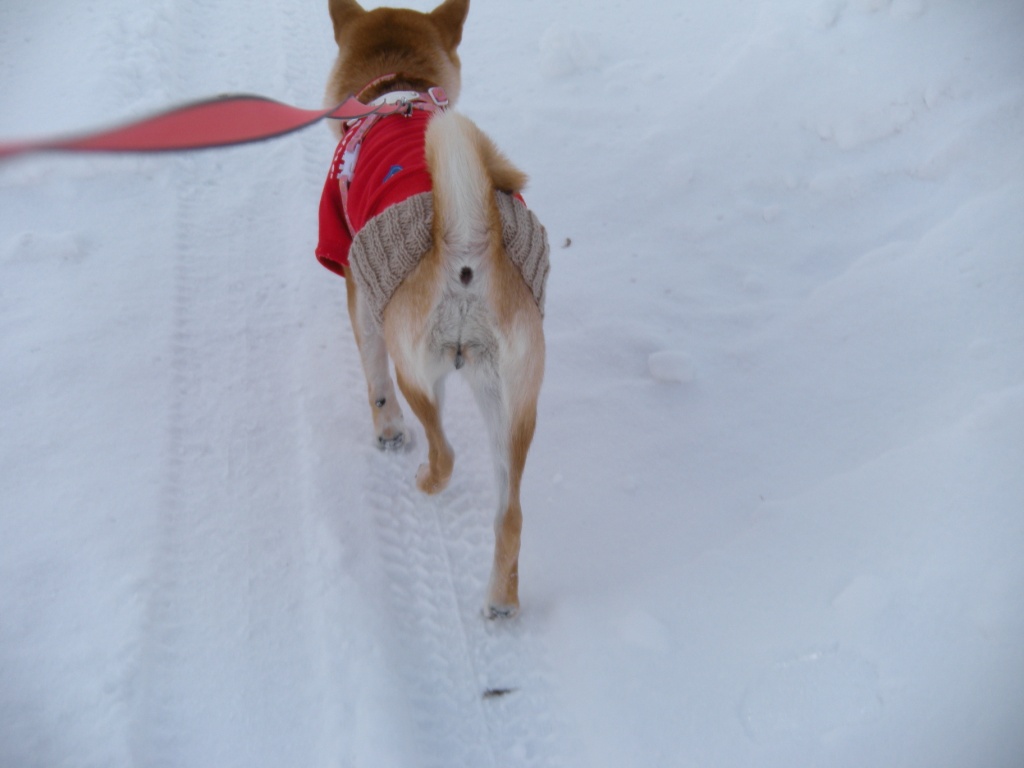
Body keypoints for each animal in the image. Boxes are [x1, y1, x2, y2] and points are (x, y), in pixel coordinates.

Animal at [317, 0, 548, 618]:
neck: (398, 88)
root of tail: (467, 242)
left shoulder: (358, 286)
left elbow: (374, 380)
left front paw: (388, 434)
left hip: (420, 370)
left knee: (444, 453)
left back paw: (422, 475)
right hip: (512, 401)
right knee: (512, 514)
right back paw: (500, 602)